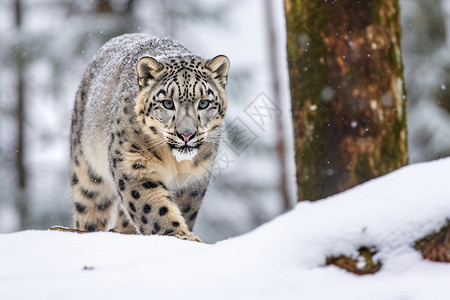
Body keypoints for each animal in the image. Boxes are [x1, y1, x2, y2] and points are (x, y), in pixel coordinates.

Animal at [69, 32, 232, 241]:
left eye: (203, 103)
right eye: (168, 103)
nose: (186, 134)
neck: (175, 162)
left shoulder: (194, 178)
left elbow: (184, 209)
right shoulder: (133, 165)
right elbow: (152, 208)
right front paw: (181, 235)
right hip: (87, 174)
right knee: (89, 208)